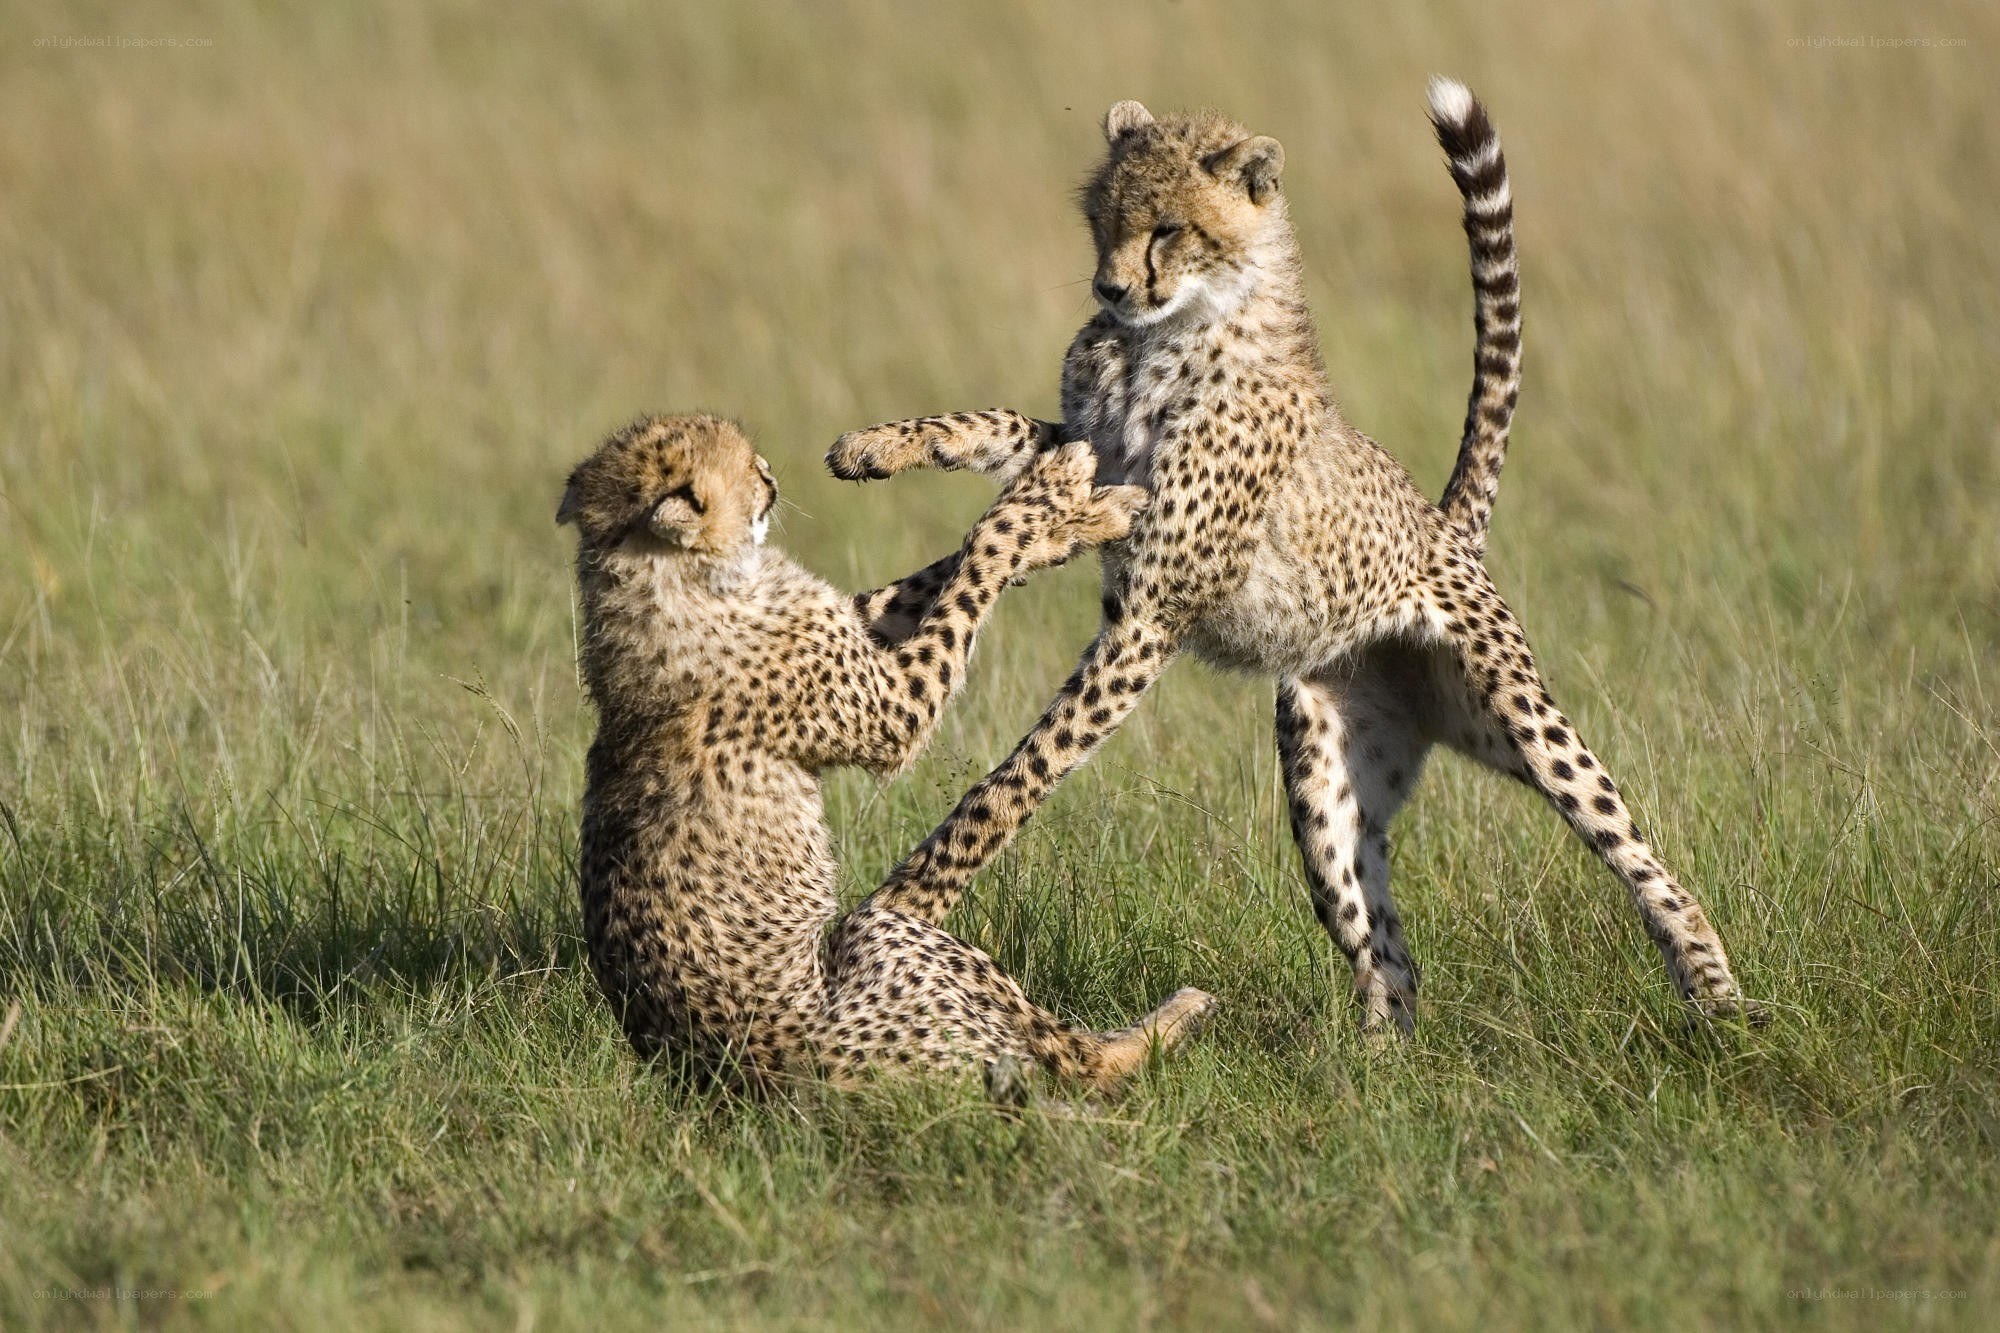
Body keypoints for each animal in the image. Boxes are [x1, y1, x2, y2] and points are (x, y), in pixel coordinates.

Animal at [559, 412, 1214, 1092]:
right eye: (743, 469)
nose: (769, 474)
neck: (665, 578)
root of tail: (741, 1075)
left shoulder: (854, 625)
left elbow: (926, 577)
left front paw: (1074, 518)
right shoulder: (895, 707)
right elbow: (982, 550)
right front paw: (1050, 492)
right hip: (891, 940)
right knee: (1077, 1061)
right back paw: (1178, 1016)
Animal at [827, 79, 1763, 1036]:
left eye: (1168, 228)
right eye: (1102, 219)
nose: (1109, 286)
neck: (1169, 331)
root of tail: (1442, 526)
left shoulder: (1154, 606)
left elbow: (1018, 775)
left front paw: (907, 901)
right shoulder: (1098, 459)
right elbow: (1004, 447)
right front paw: (883, 449)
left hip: (1518, 718)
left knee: (1630, 847)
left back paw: (1719, 1000)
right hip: (1326, 782)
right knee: (1386, 950)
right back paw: (1373, 1065)